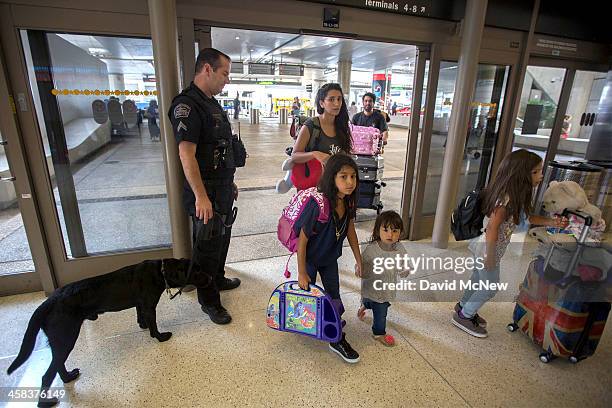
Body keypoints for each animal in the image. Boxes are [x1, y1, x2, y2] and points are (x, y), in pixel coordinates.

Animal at [4, 258, 212, 404]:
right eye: (197, 271)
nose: (211, 277)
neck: (160, 272)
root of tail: (48, 302)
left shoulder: (140, 304)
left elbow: (141, 317)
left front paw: (143, 326)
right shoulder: (149, 304)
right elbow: (153, 324)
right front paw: (160, 337)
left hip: (60, 341)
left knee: (58, 365)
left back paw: (69, 376)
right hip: (66, 337)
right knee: (47, 374)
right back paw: (46, 402)